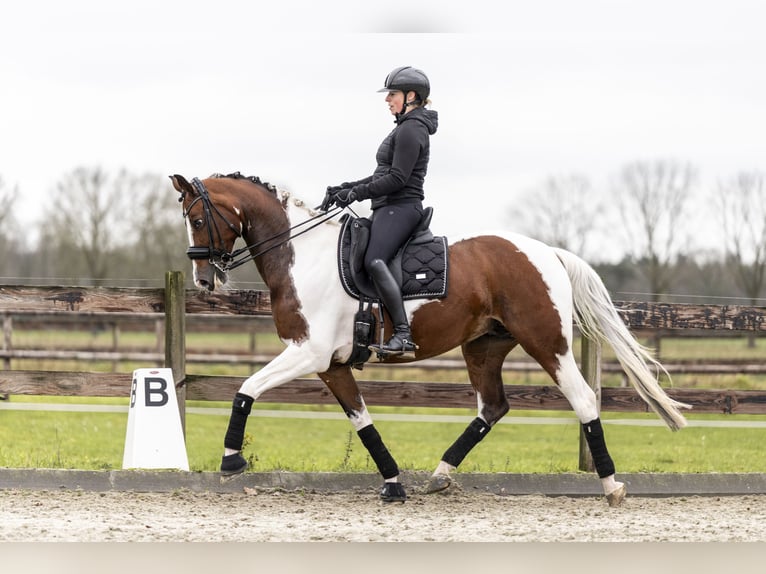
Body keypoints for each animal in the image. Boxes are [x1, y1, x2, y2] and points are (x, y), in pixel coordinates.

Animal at [171, 172, 692, 508]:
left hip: (547, 343)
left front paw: (231, 459)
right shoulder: (331, 363)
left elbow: (245, 390)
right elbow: (363, 422)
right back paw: (440, 476)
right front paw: (393, 483)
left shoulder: (308, 353)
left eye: (197, 219)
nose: (203, 280)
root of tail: (548, 252)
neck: (303, 255)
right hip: (483, 346)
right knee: (492, 407)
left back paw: (611, 487)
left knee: (583, 400)